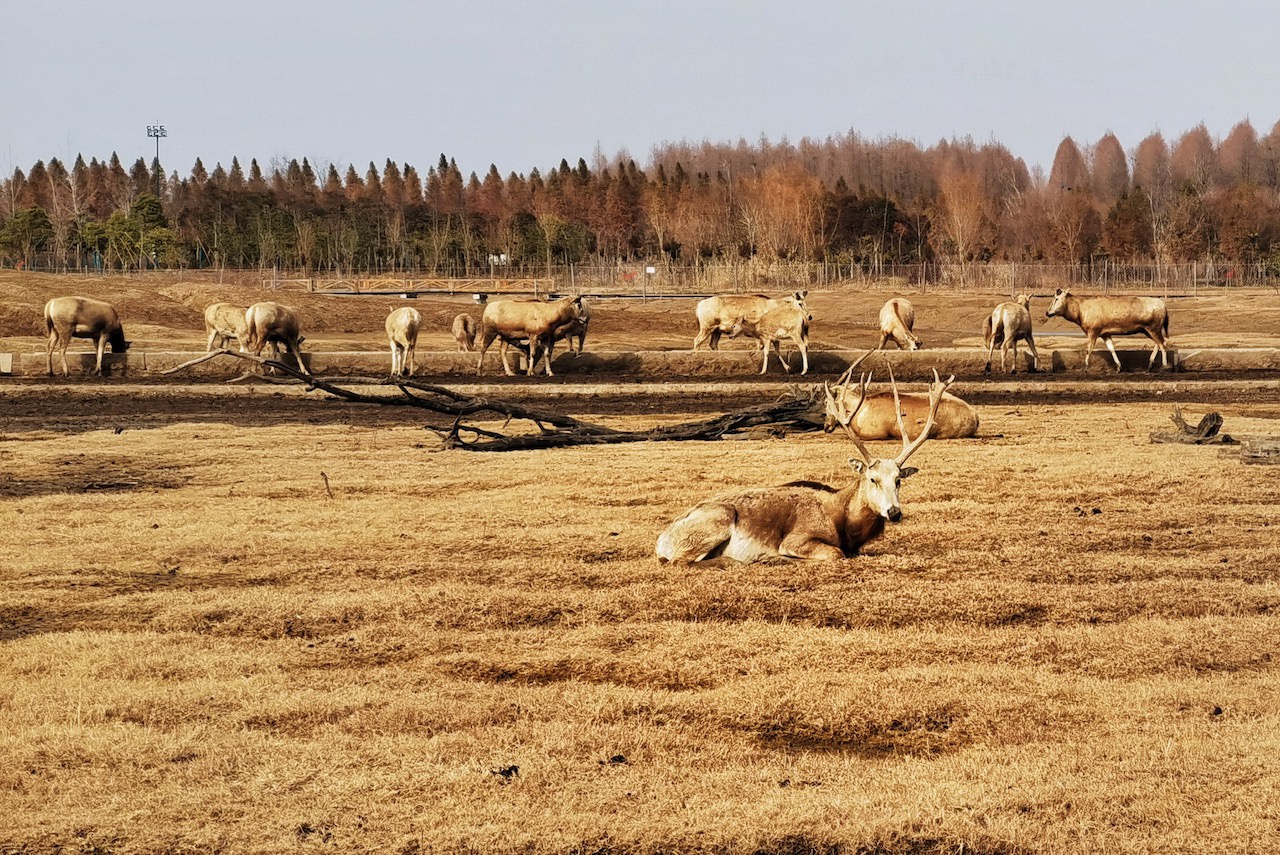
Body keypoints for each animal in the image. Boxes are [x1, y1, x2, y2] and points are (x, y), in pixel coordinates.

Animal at [655, 368, 957, 563]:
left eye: (899, 479)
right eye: (873, 478)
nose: (894, 512)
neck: (844, 525)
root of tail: (661, 542)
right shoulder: (798, 538)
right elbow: (835, 554)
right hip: (717, 519)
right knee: (680, 562)